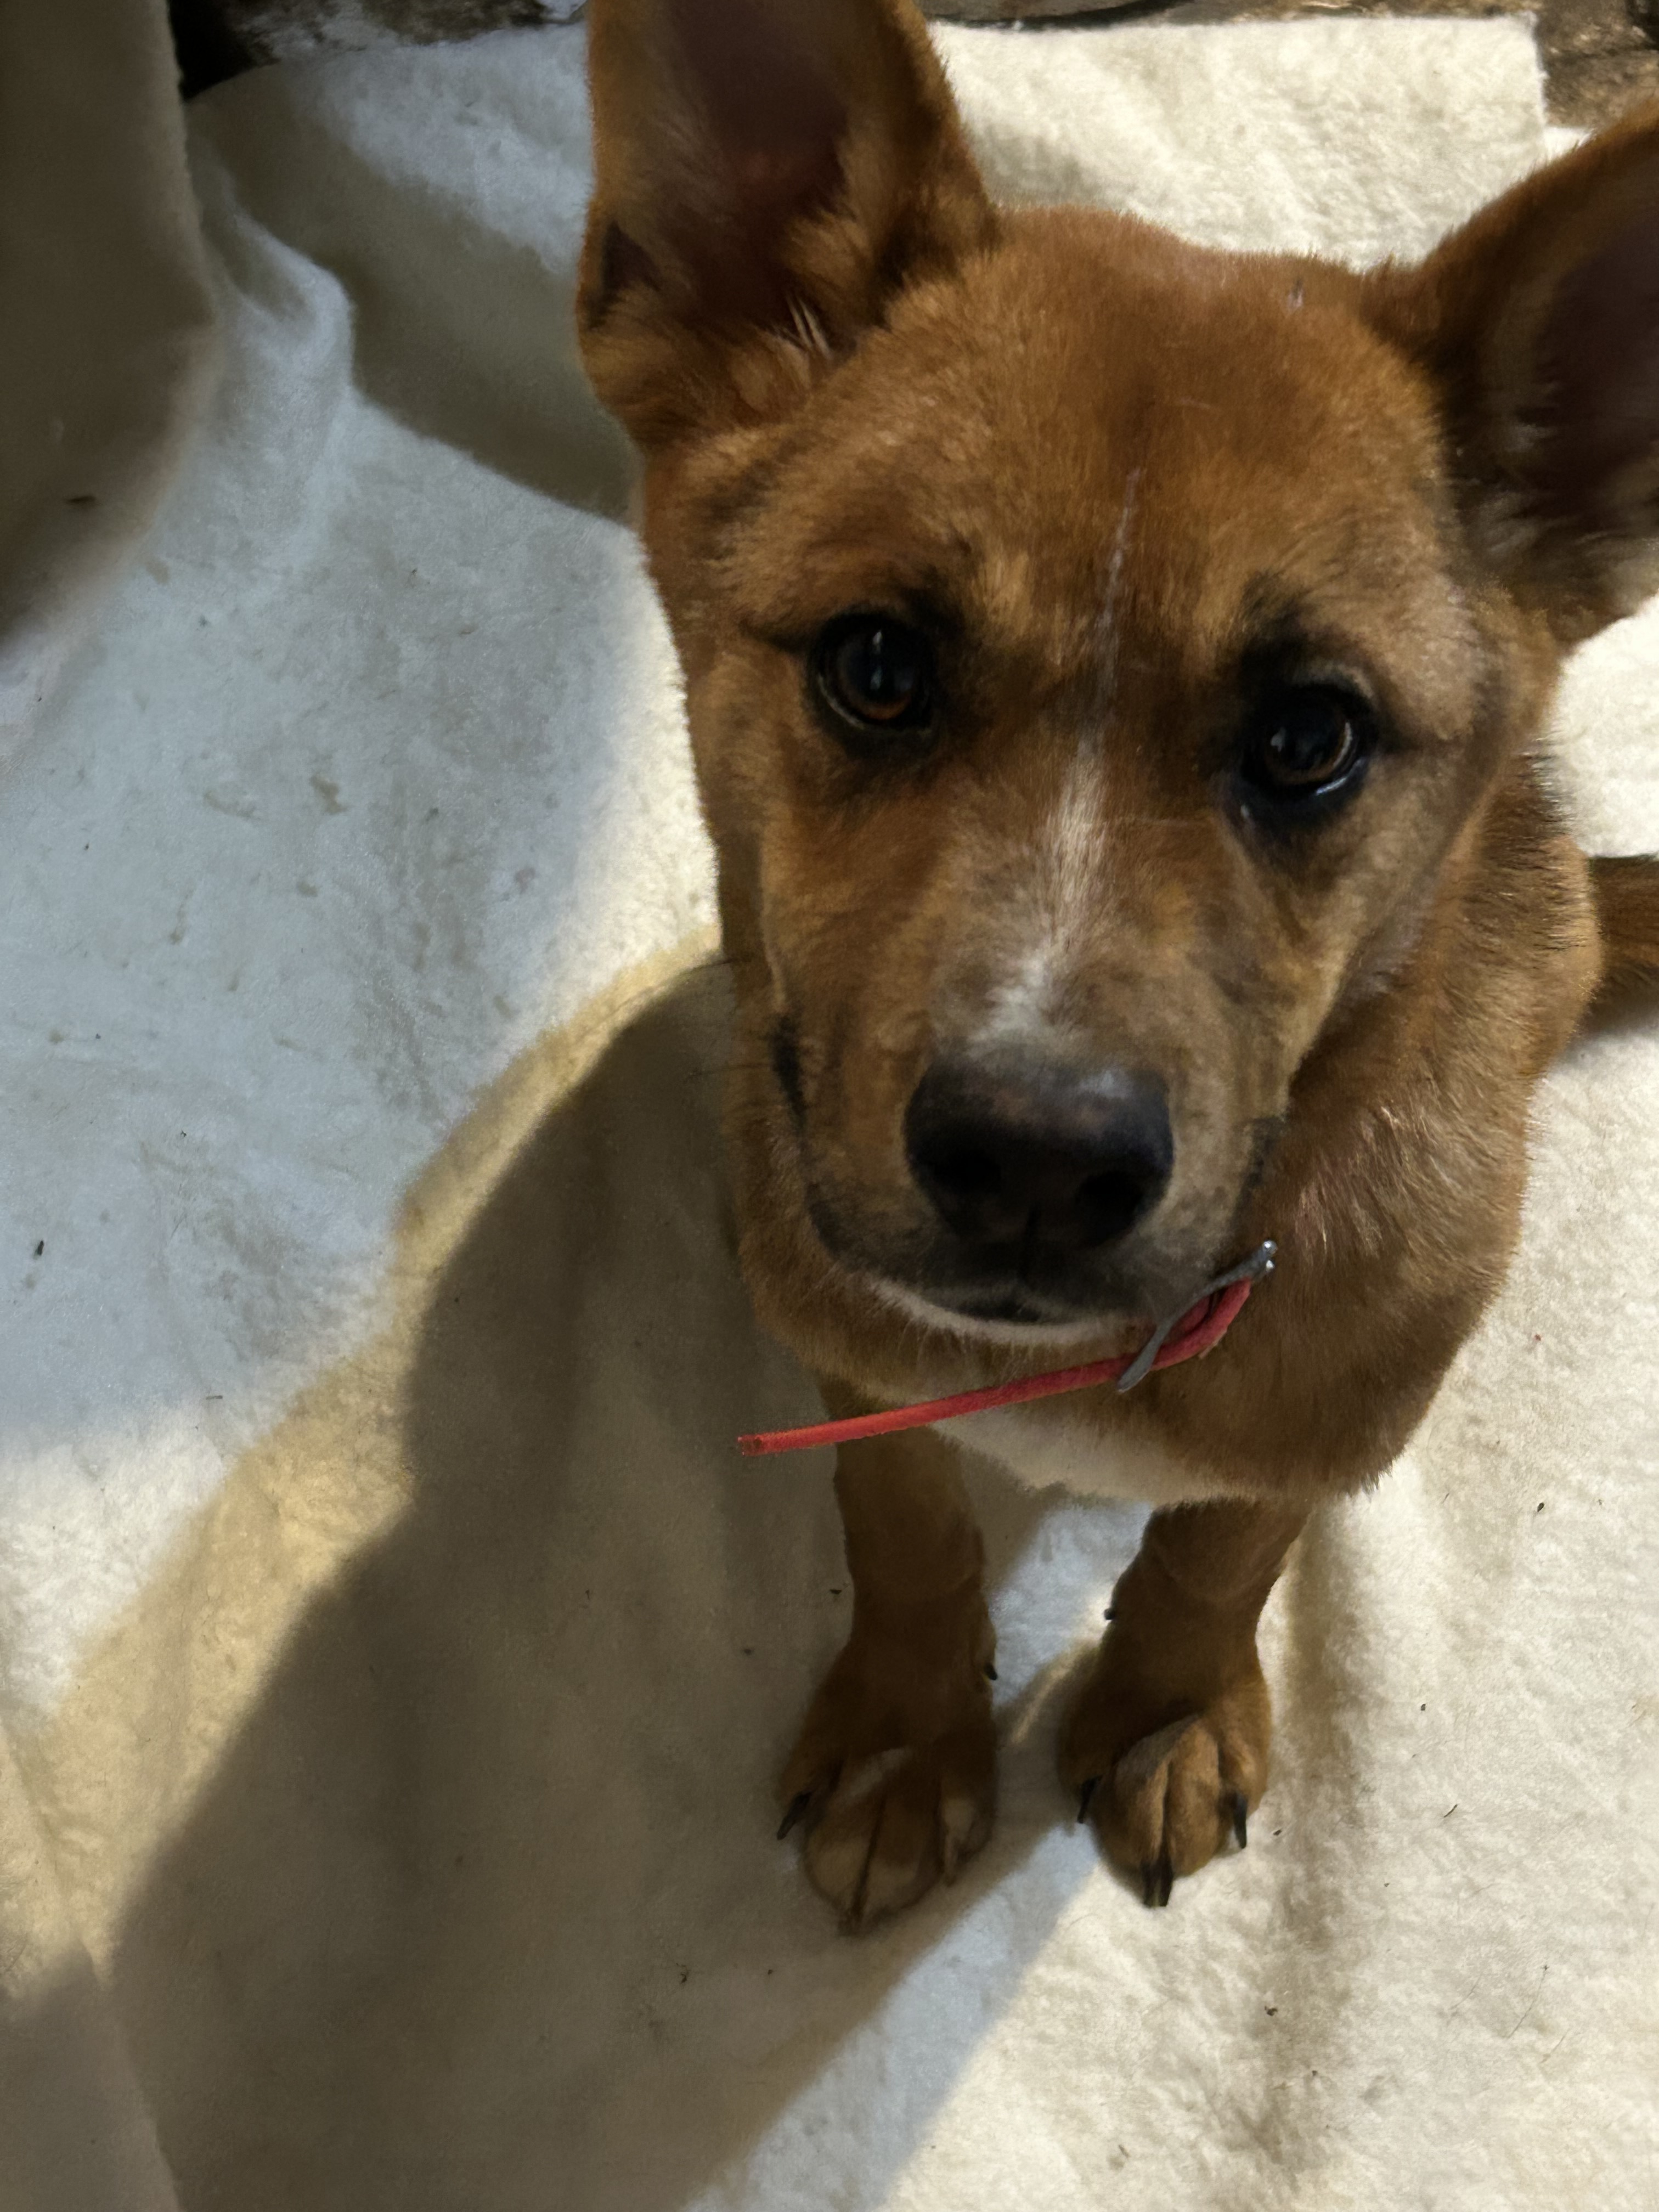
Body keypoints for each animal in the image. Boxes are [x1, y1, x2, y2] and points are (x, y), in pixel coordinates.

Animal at [575, 0, 1659, 1920]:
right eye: (875, 665)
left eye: (1312, 735)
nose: (1031, 1163)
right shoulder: (849, 1351)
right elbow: (904, 1528)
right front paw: (911, 1732)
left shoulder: (1335, 1411)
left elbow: (1221, 1551)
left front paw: (1166, 1713)